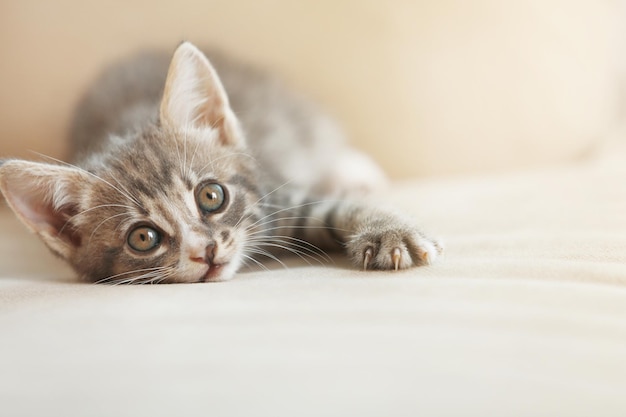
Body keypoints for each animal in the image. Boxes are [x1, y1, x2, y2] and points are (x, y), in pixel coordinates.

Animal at [0, 42, 442, 282]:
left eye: (211, 196)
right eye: (143, 237)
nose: (206, 250)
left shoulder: (277, 194)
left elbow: (337, 208)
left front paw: (391, 233)